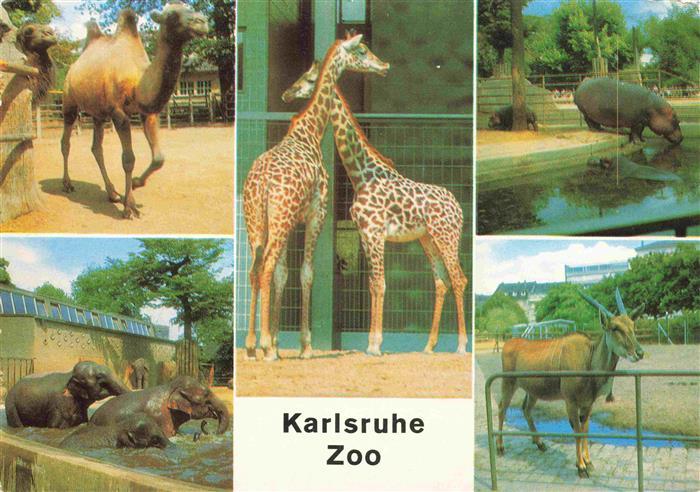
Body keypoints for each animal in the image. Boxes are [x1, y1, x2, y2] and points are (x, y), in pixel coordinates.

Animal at [60, 1, 208, 218]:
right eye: (172, 15)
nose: (202, 21)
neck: (137, 83)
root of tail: (73, 67)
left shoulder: (148, 113)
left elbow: (158, 158)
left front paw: (137, 183)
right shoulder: (118, 113)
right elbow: (128, 159)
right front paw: (129, 206)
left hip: (98, 113)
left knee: (96, 147)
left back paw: (112, 193)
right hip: (69, 101)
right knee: (66, 141)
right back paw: (68, 184)